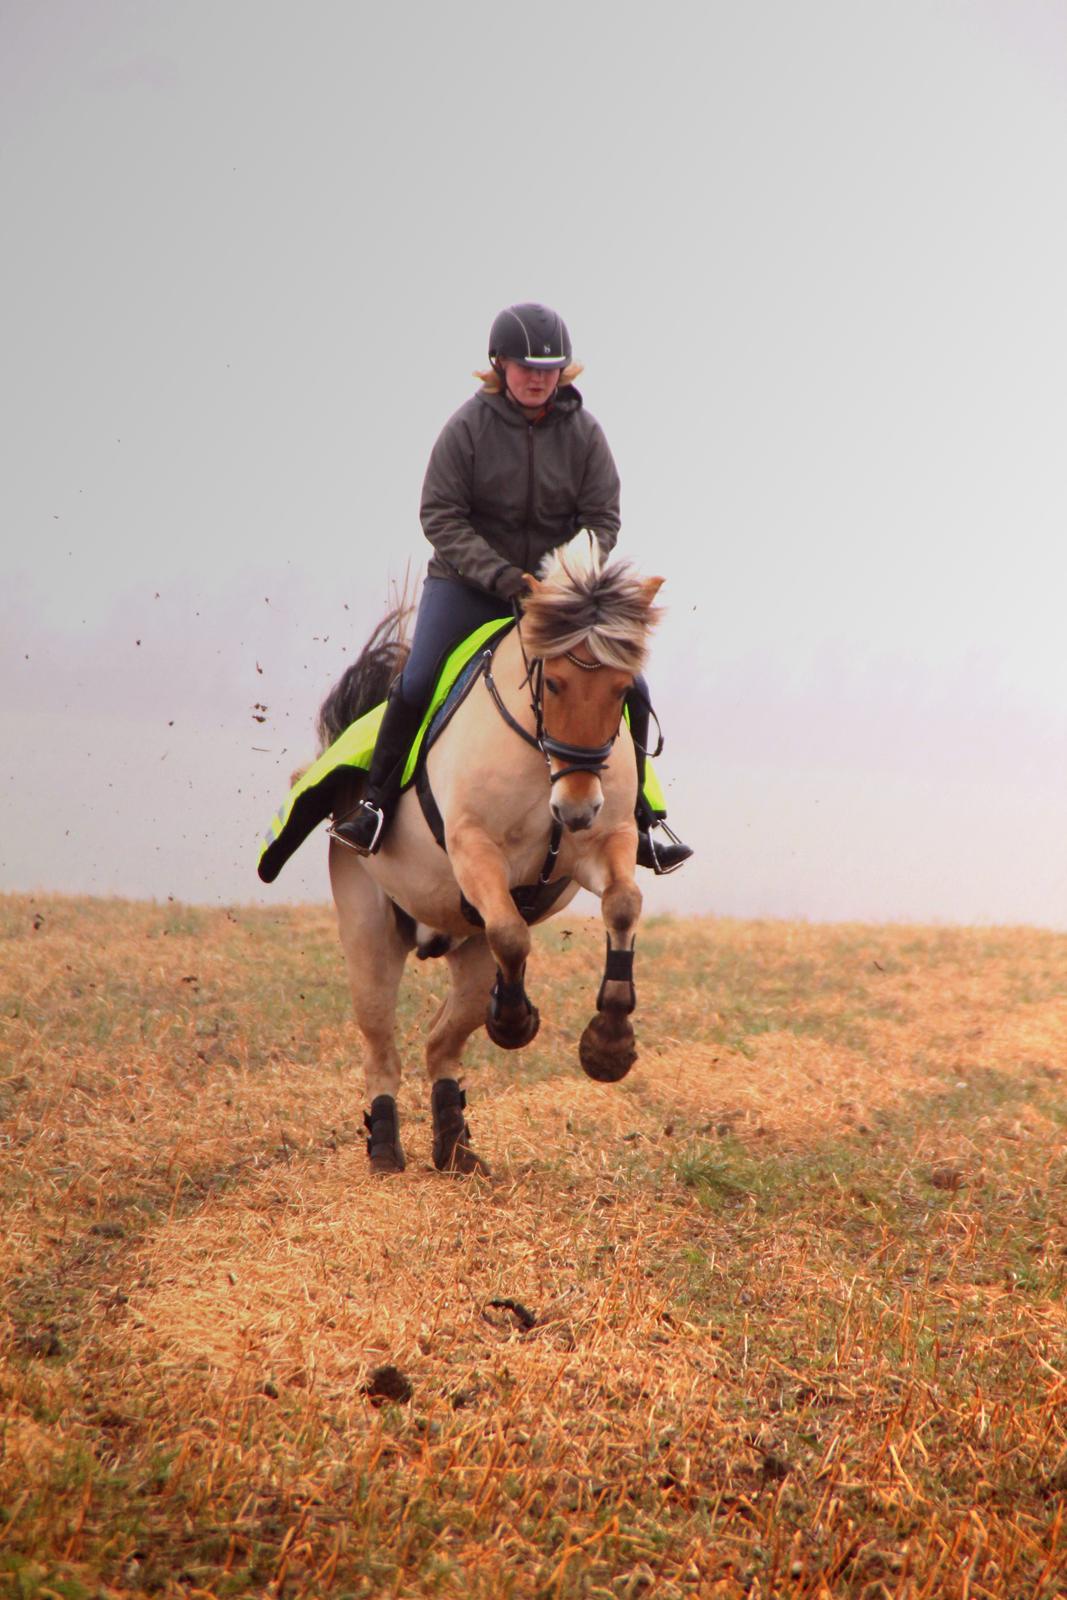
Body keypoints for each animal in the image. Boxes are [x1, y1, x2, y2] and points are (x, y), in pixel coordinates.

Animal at [321, 547, 662, 1177]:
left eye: (624, 689)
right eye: (556, 682)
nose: (577, 808)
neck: (540, 754)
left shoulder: (605, 844)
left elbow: (624, 905)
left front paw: (609, 1043)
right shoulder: (474, 850)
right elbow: (510, 931)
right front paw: (514, 1021)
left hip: (467, 953)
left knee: (440, 1044)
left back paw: (455, 1146)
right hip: (368, 933)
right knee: (382, 1050)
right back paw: (385, 1149)